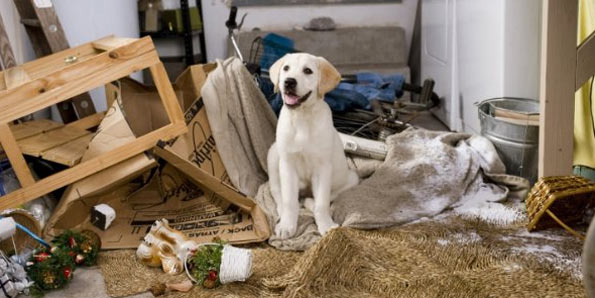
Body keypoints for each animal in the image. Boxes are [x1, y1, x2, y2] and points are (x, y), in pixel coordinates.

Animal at [268, 53, 360, 239]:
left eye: (308, 71)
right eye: (286, 68)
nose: (289, 82)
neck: (302, 117)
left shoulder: (322, 167)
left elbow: (322, 202)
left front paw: (326, 225)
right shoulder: (287, 164)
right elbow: (289, 200)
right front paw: (288, 225)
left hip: (351, 177)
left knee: (326, 196)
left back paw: (309, 201)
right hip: (273, 155)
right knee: (276, 191)